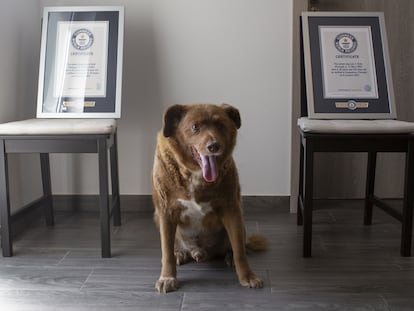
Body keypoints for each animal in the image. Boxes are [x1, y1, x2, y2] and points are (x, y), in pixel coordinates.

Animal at [151, 103, 266, 294]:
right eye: (195, 127)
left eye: (220, 125)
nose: (214, 146)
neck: (195, 173)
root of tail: (200, 252)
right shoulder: (166, 212)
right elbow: (166, 252)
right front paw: (168, 277)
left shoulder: (232, 210)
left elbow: (240, 251)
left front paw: (247, 276)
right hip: (157, 219)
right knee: (173, 247)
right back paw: (179, 253)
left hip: (241, 222)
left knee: (237, 246)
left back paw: (228, 257)